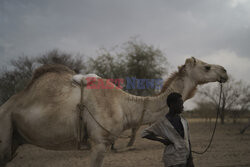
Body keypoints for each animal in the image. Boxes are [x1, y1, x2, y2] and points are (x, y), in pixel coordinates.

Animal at [0, 56, 228, 166]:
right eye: (206, 67)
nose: (225, 71)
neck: (125, 104)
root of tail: (6, 105)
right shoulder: (99, 142)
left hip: (14, 141)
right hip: (4, 129)